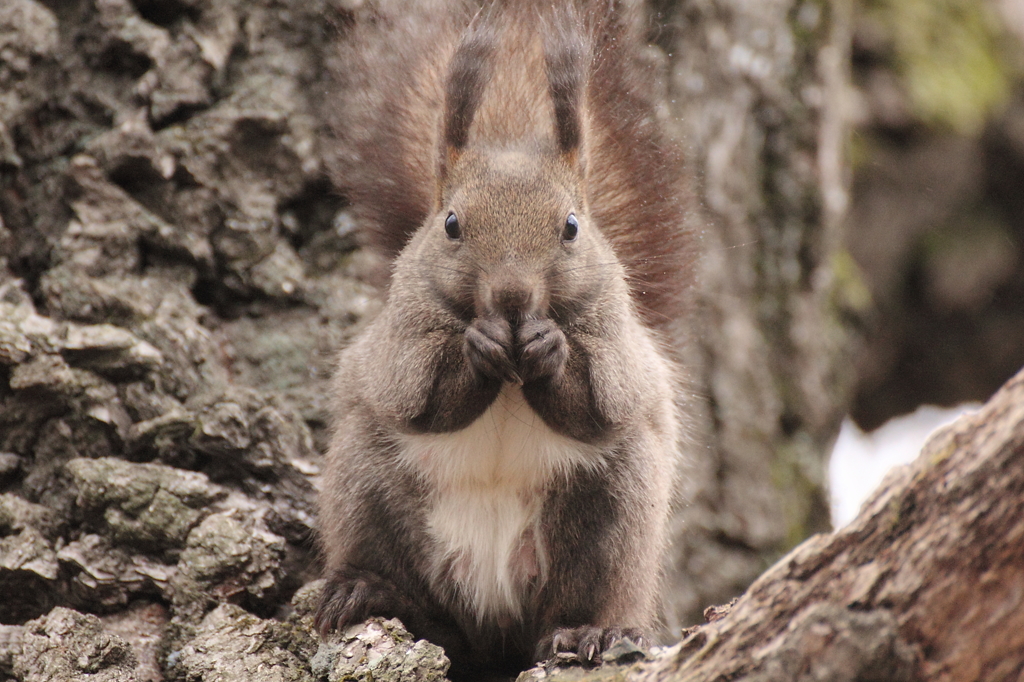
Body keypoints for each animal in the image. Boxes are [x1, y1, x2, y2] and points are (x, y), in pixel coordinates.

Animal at [311, 2, 696, 675]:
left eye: (572, 226)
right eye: (451, 224)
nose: (513, 298)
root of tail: (493, 614)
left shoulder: (613, 335)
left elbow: (597, 404)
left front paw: (549, 351)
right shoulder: (403, 333)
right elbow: (424, 401)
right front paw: (480, 349)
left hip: (613, 517)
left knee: (575, 602)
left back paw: (587, 631)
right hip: (365, 483)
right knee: (431, 616)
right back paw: (368, 589)